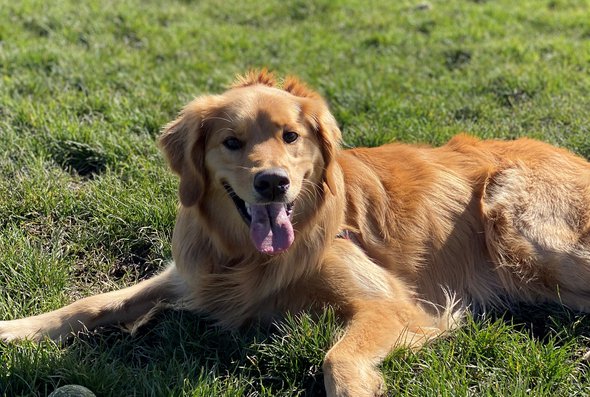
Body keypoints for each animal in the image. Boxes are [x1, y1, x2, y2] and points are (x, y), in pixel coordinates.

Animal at [1, 69, 590, 394]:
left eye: (291, 137)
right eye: (232, 142)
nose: (272, 183)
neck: (248, 258)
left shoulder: (391, 305)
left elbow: (339, 359)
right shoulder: (194, 274)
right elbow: (95, 303)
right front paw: (18, 329)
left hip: (520, 228)